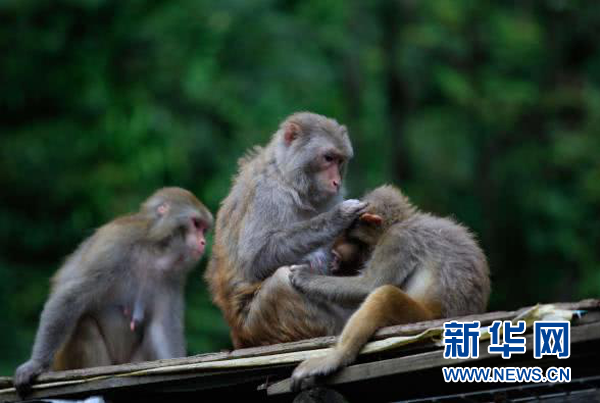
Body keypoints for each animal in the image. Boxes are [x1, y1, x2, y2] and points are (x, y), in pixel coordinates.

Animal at [13, 188, 213, 396]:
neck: (154, 250)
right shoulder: (115, 246)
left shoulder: (172, 278)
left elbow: (161, 327)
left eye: (204, 229)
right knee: (83, 324)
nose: (203, 242)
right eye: (196, 224)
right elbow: (69, 297)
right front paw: (36, 364)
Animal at [204, 113, 368, 350]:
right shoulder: (268, 195)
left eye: (340, 160)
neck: (288, 178)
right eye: (328, 158)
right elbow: (255, 259)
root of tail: (239, 336)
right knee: (281, 281)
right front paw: (338, 217)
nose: (336, 182)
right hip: (259, 324)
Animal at [288, 185, 490, 390]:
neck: (400, 222)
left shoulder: (396, 240)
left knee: (384, 295)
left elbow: (369, 286)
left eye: (348, 235)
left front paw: (305, 277)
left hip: (422, 316)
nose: (337, 247)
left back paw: (337, 356)